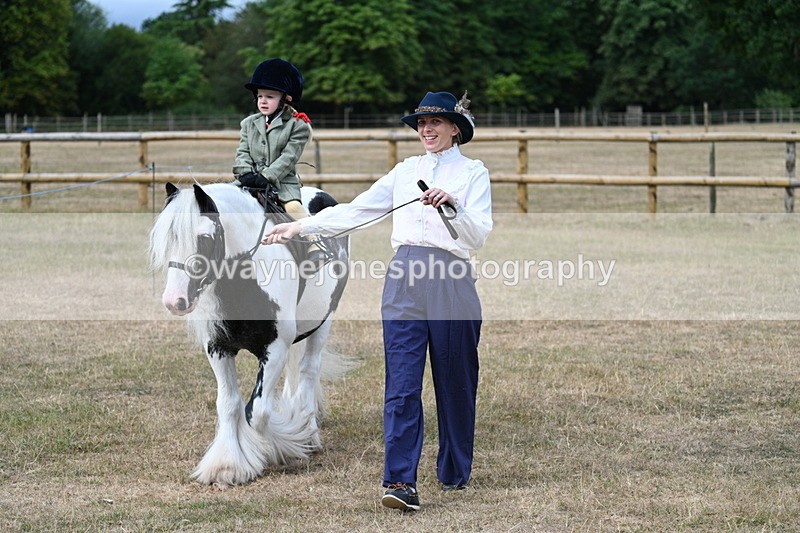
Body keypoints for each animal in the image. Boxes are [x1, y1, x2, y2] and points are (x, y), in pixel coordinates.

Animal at [149, 182, 350, 487]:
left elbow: (257, 412)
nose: (174, 300)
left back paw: (308, 433)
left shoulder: (274, 349)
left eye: (204, 238)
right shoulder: (218, 348)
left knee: (308, 371)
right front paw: (227, 466)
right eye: (167, 238)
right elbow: (229, 404)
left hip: (323, 323)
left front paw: (285, 445)